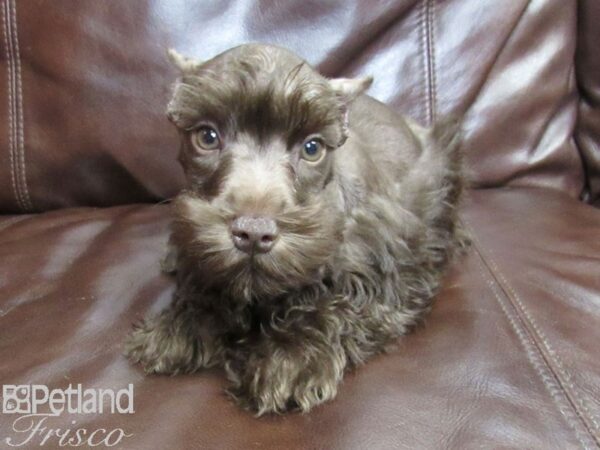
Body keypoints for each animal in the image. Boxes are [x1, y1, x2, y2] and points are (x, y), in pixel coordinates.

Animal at [124, 43, 466, 414]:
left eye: (312, 147)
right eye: (207, 136)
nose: (253, 234)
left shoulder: (388, 272)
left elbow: (340, 302)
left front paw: (290, 356)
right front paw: (181, 326)